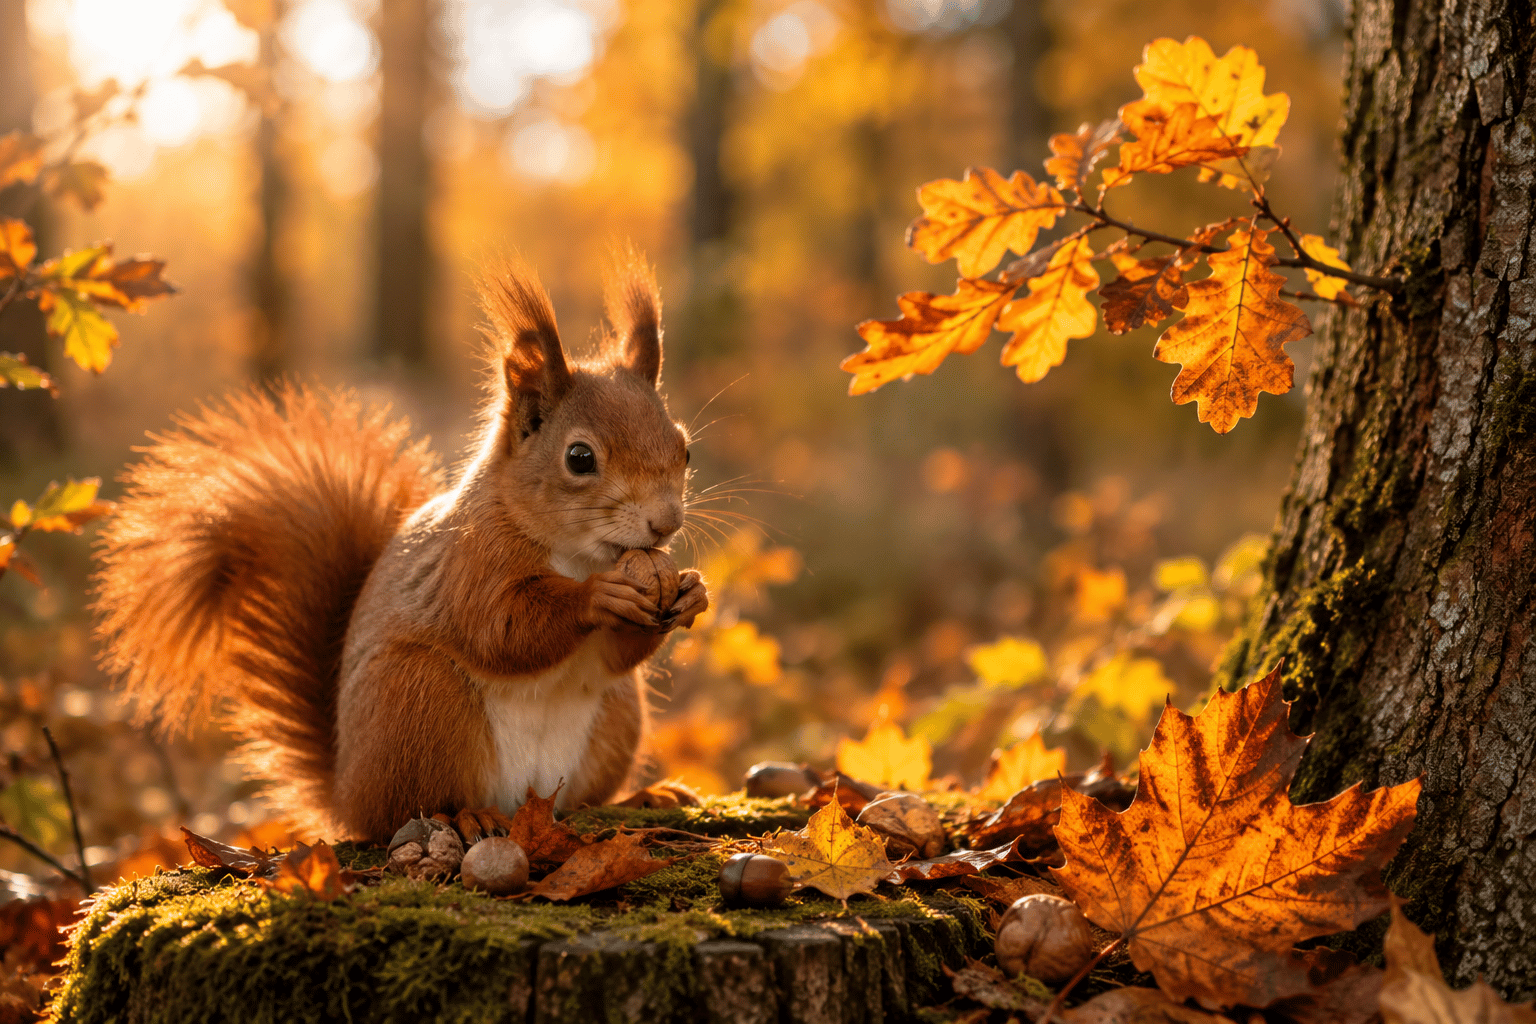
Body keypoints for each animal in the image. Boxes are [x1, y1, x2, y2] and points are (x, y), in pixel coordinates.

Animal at [92, 255, 709, 843]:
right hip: (421, 701)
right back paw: (466, 817)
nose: (665, 523)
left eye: (685, 448)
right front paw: (600, 596)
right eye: (579, 458)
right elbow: (501, 628)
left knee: (581, 797)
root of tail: (346, 795)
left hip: (615, 716)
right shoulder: (471, 562)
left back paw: (640, 797)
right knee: (408, 809)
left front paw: (693, 592)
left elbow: (617, 654)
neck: (579, 555)